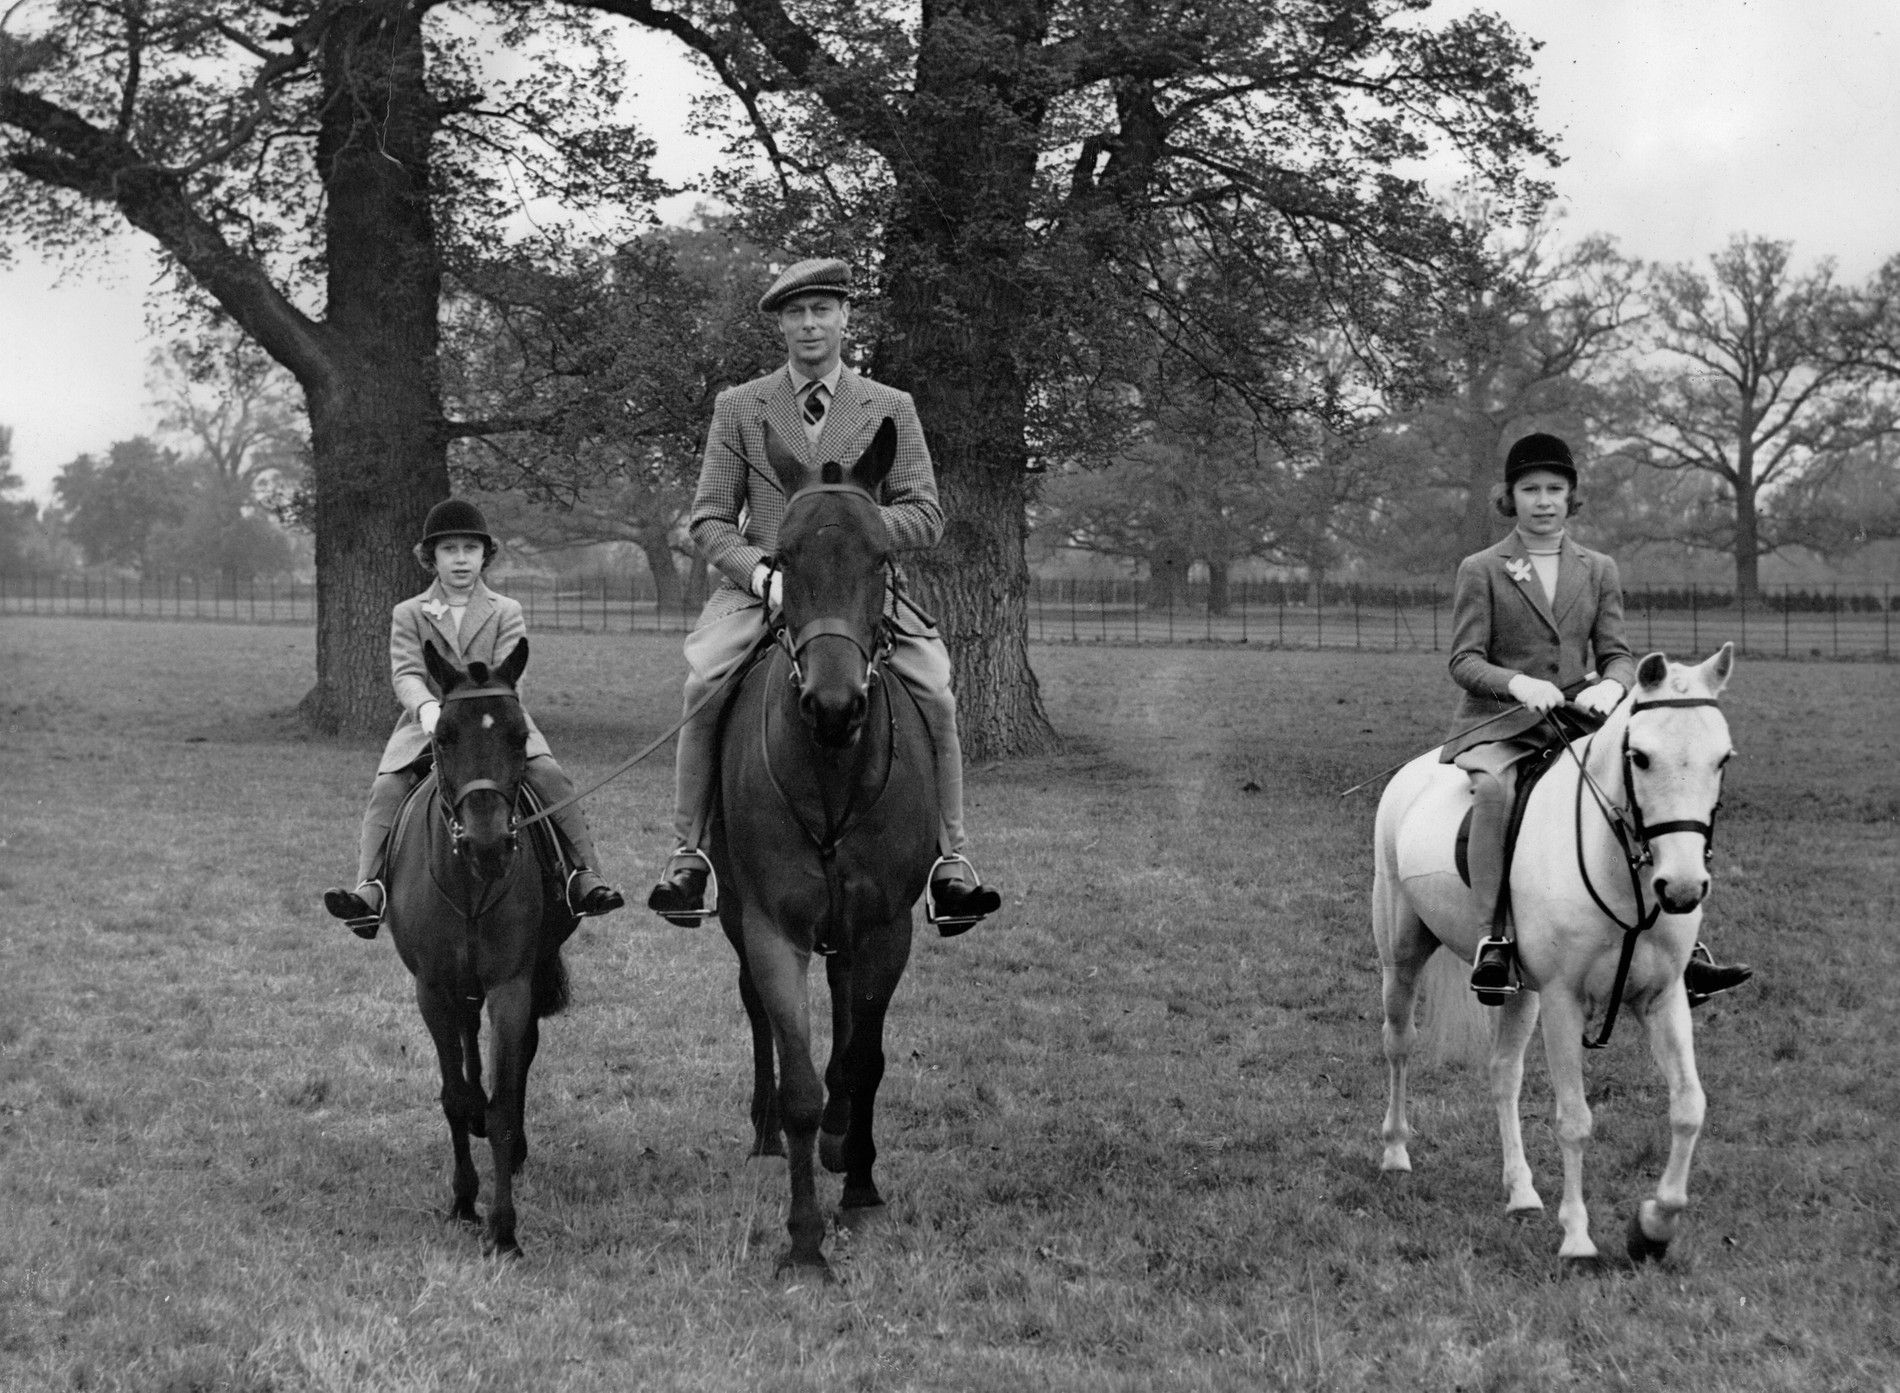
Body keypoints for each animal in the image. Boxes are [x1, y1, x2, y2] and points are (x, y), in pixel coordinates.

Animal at [380, 642, 570, 1261]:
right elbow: (455, 1097)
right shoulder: (433, 990)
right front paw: (464, 1201)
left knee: (523, 1054)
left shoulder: (512, 987)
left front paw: (504, 1229)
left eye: (518, 735)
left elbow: (505, 1102)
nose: (489, 844)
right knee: (466, 1054)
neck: (469, 882)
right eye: (443, 737)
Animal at [714, 418, 942, 1277]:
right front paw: (806, 1241)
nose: (836, 705)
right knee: (757, 1014)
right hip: (738, 916)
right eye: (782, 559)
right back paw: (766, 1132)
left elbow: (861, 1061)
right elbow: (805, 1082)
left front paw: (861, 1184)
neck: (833, 770)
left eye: (880, 557)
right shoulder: (773, 928)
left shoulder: (883, 929)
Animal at [1368, 642, 1740, 1261]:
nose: (1683, 889)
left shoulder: (1663, 998)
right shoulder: (1566, 1002)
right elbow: (1574, 1120)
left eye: (1723, 760)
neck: (1621, 871)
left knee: (1504, 1073)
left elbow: (1689, 1108)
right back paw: (1396, 1152)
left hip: (1521, 991)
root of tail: (1415, 772)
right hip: (1402, 957)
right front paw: (1578, 1238)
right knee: (1399, 1045)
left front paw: (1653, 1225)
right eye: (1640, 757)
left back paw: (1520, 1191)